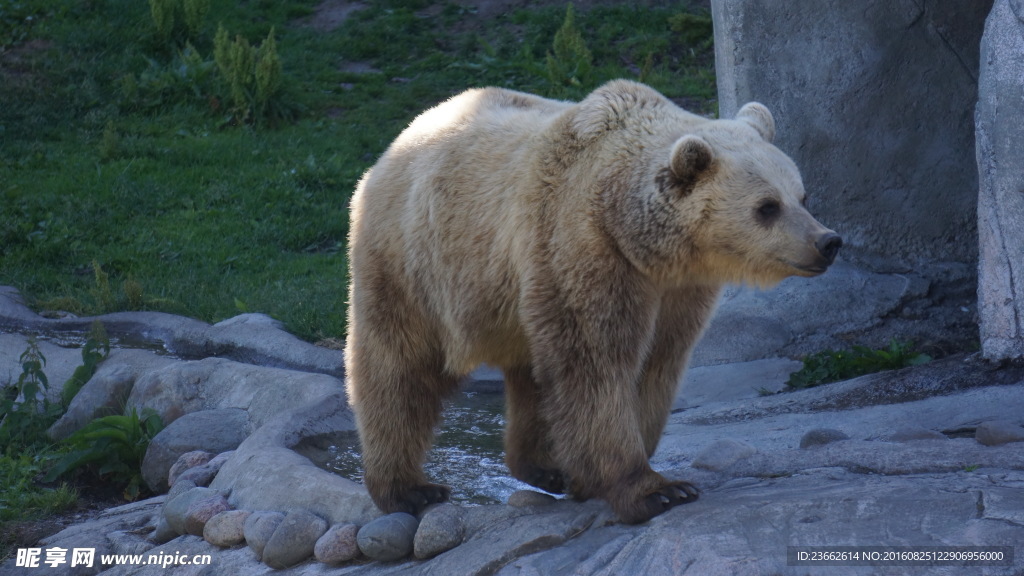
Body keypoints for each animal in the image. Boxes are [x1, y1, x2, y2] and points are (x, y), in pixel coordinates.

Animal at [344, 78, 839, 522]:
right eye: (766, 206)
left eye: (803, 195)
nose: (827, 242)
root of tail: (396, 143)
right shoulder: (584, 245)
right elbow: (597, 364)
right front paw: (656, 490)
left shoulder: (676, 289)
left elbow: (656, 364)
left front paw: (602, 476)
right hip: (414, 260)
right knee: (399, 367)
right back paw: (409, 488)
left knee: (530, 375)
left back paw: (544, 467)